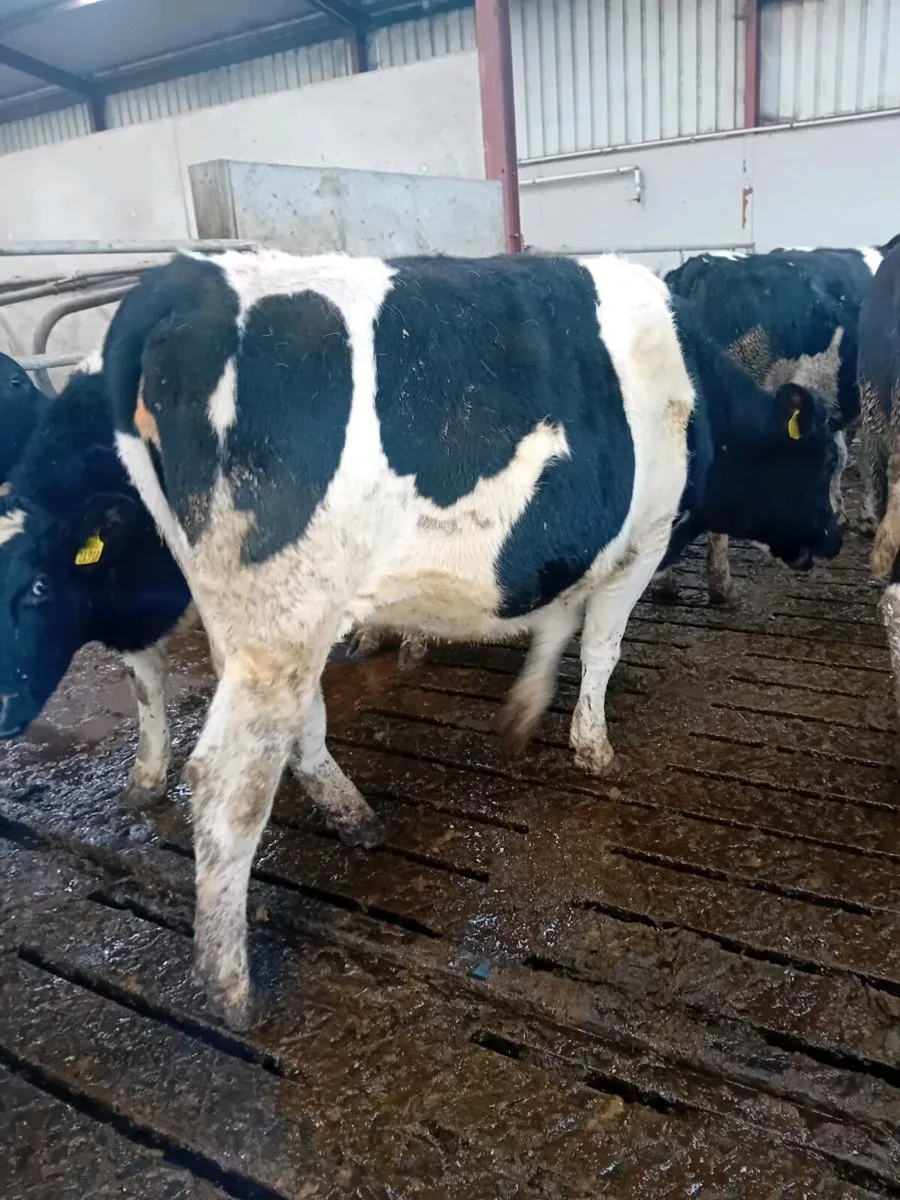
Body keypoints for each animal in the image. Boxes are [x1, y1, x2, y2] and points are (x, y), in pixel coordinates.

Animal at [100, 248, 841, 1028]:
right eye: (827, 460)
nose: (835, 537)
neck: (695, 396)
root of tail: (180, 276)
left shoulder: (566, 551)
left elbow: (557, 628)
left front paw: (524, 712)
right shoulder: (639, 545)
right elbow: (600, 648)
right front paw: (594, 748)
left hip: (264, 623)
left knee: (283, 727)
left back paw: (352, 815)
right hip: (281, 619)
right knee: (229, 787)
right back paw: (231, 986)